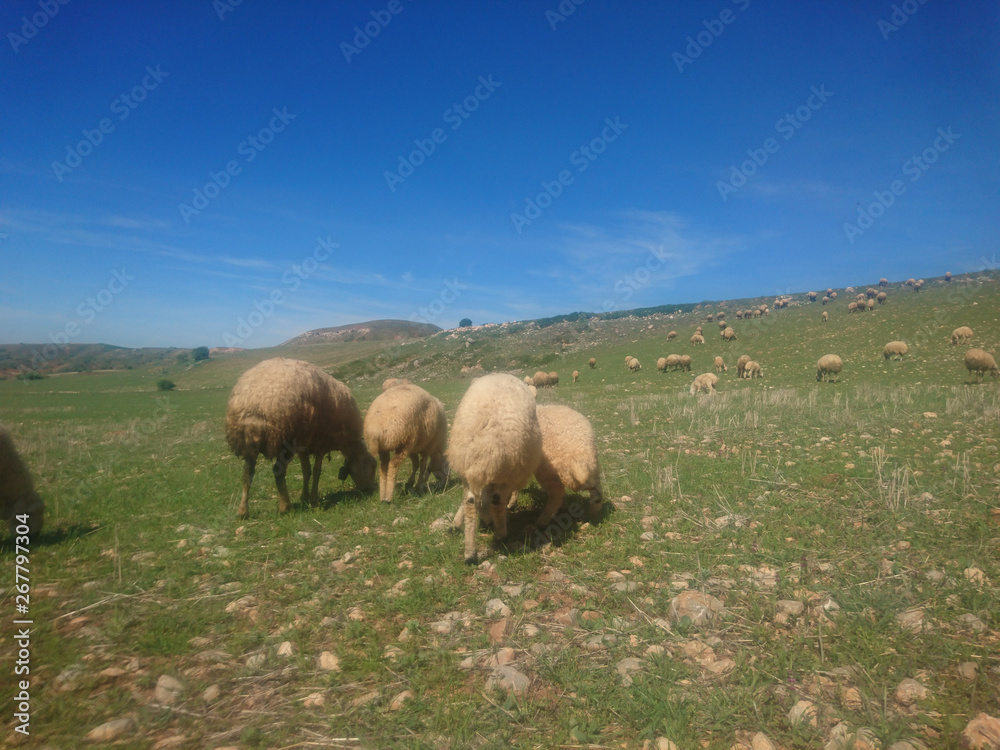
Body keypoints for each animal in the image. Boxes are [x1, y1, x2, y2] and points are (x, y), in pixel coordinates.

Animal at [225, 357, 376, 518]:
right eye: (372, 467)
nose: (370, 490)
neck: (347, 443)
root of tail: (256, 403)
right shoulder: (321, 443)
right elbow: (316, 471)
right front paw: (314, 498)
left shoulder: (304, 446)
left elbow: (306, 471)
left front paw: (304, 497)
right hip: (285, 440)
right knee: (278, 471)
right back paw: (285, 507)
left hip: (248, 441)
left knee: (247, 472)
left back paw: (242, 511)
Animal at [447, 373, 542, 564]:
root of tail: (487, 440)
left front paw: (458, 521)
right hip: (507, 471)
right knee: (497, 501)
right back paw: (501, 534)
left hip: (465, 464)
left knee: (469, 502)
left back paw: (470, 552)